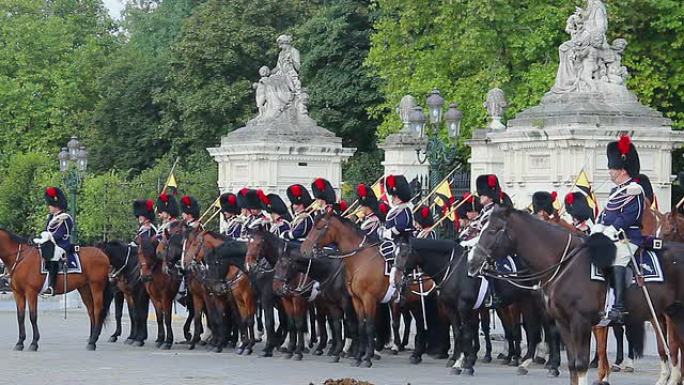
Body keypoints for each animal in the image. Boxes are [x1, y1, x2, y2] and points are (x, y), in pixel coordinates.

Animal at [470, 206, 684, 384]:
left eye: (492, 230)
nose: (472, 262)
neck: (565, 263)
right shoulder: (564, 323)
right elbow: (573, 365)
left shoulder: (581, 322)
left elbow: (581, 364)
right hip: (673, 314)